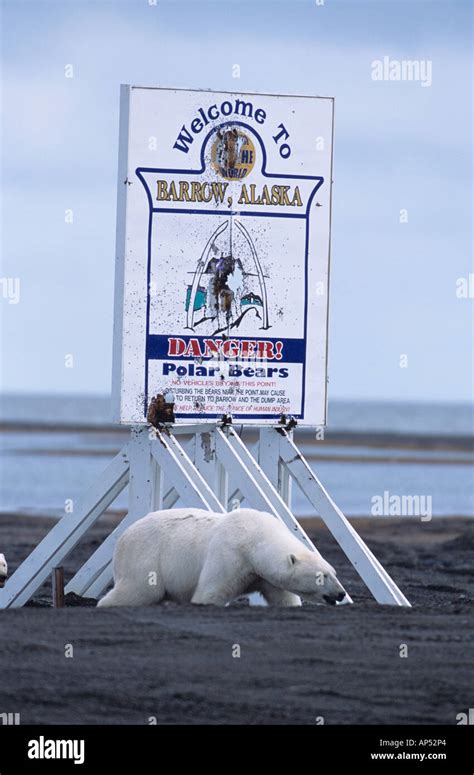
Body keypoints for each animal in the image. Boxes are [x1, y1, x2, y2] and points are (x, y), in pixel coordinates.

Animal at [98, 510, 346, 612]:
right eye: (322, 576)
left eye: (334, 572)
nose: (341, 593)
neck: (254, 540)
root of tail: (122, 537)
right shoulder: (230, 554)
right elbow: (211, 592)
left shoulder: (264, 575)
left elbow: (283, 597)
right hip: (146, 557)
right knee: (140, 590)